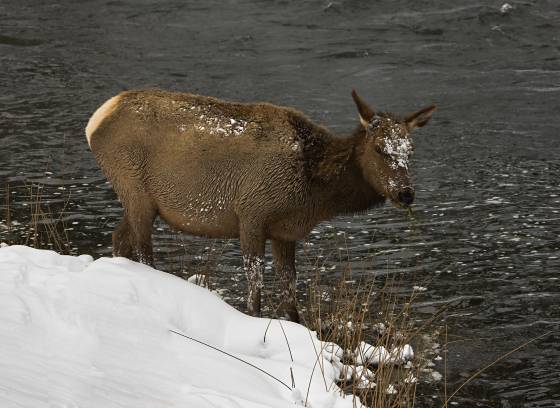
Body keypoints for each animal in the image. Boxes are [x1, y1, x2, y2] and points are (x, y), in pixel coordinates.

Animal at [85, 89, 436, 322]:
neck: (312, 194)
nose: (406, 193)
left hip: (137, 198)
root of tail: (94, 121)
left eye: (410, 149)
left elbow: (290, 292)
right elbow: (254, 289)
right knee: (143, 252)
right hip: (133, 187)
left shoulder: (285, 232)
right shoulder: (251, 214)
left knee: (119, 239)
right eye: (379, 148)